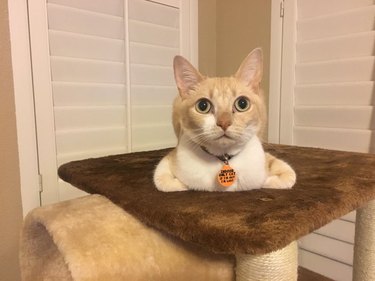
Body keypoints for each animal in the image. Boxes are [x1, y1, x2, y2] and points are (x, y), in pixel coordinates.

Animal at [153, 48, 296, 192]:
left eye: (242, 103)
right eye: (203, 106)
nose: (224, 123)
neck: (224, 158)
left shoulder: (263, 158)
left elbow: (288, 175)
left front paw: (269, 180)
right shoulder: (171, 158)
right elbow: (163, 181)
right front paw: (181, 185)